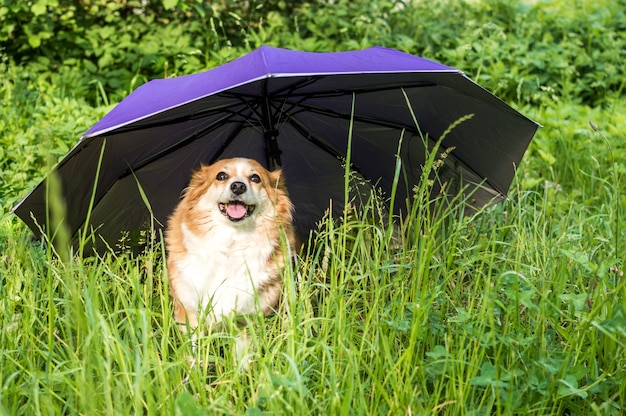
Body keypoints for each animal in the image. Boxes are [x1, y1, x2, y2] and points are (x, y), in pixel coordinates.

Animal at [163, 157, 294, 334]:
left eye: (255, 178)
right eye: (222, 176)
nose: (238, 186)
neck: (231, 241)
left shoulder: (248, 320)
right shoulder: (189, 313)